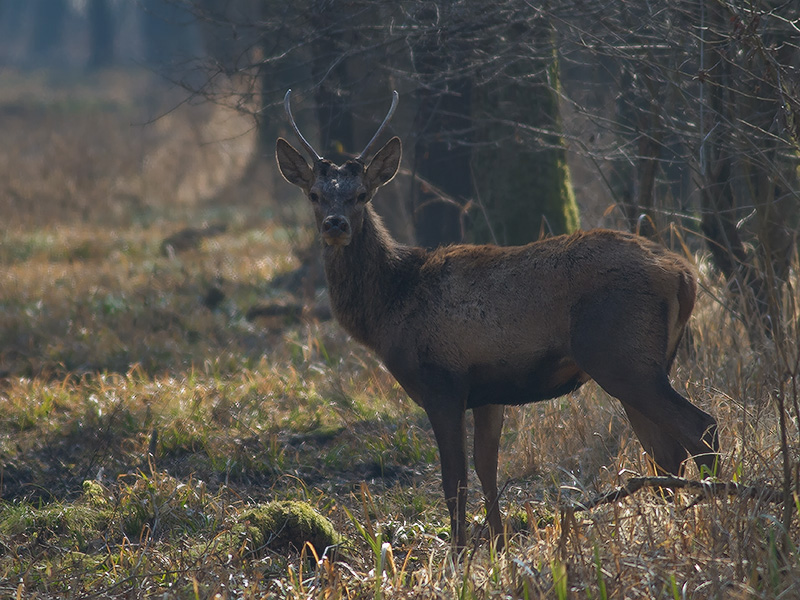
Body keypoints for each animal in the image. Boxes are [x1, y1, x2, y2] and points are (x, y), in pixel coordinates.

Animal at [276, 88, 720, 548]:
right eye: (314, 194)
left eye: (362, 194)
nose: (335, 224)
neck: (390, 309)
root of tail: (685, 275)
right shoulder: (488, 392)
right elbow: (485, 468)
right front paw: (498, 544)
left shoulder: (442, 382)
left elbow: (454, 479)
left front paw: (458, 553)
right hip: (646, 361)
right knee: (666, 451)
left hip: (621, 356)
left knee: (700, 427)